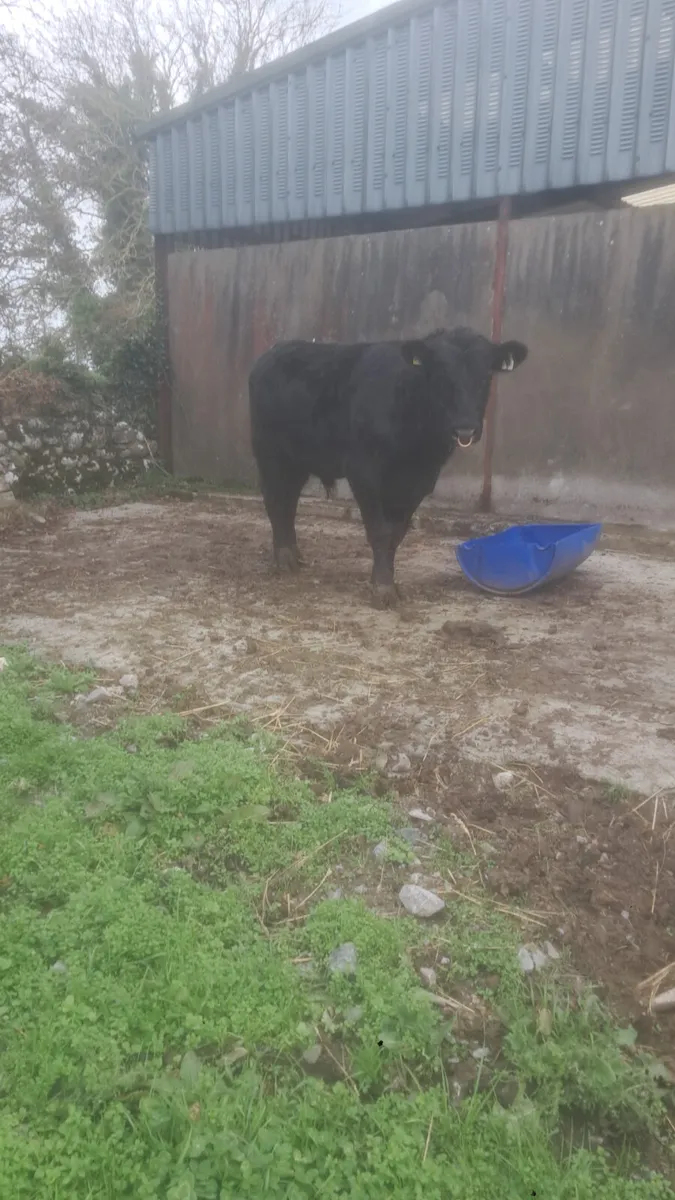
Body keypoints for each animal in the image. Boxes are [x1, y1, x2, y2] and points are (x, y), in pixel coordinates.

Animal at [248, 326, 528, 607]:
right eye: (441, 375)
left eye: (486, 376)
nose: (465, 429)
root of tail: (274, 351)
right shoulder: (363, 472)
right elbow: (380, 531)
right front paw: (382, 588)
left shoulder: (420, 480)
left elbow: (396, 534)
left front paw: (388, 581)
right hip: (269, 451)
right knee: (275, 500)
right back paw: (284, 559)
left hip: (297, 460)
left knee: (289, 502)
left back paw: (294, 554)